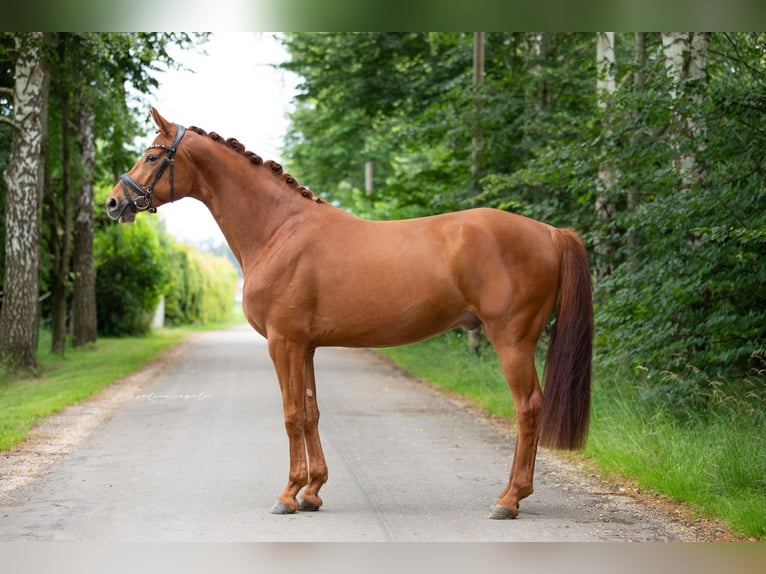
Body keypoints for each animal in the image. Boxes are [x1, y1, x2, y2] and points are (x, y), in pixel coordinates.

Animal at [105, 108, 592, 520]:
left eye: (152, 155)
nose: (112, 203)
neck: (279, 230)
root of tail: (551, 232)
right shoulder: (305, 346)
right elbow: (311, 412)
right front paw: (313, 491)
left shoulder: (283, 343)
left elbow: (291, 414)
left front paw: (288, 494)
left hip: (511, 340)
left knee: (528, 408)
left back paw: (509, 499)